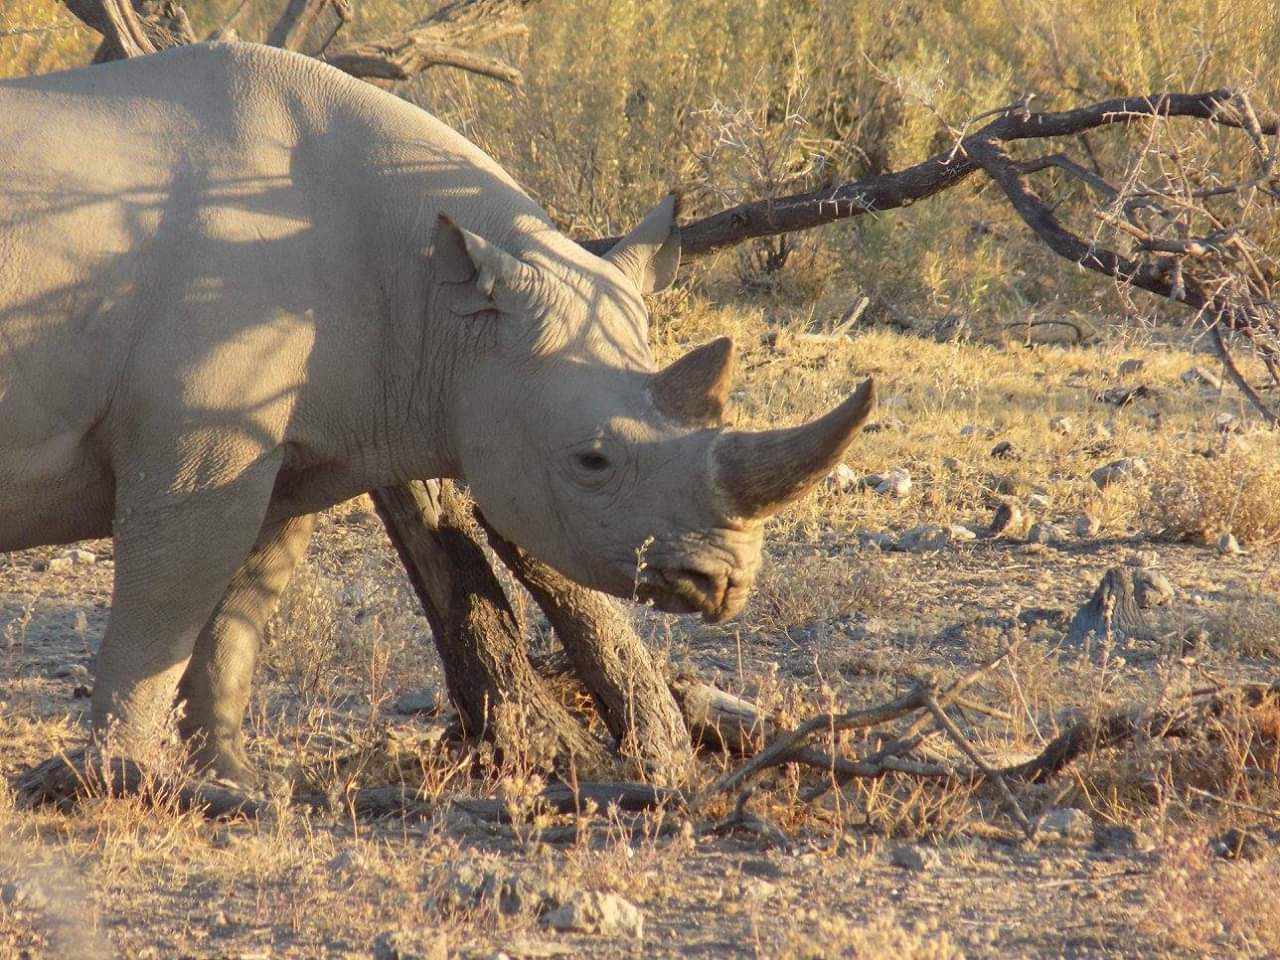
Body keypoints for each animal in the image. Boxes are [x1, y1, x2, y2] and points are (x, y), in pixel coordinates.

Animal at [0, 42, 874, 789]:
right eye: (591, 461)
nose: (722, 583)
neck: (443, 306)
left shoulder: (273, 447)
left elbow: (236, 611)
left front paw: (240, 782)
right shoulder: (196, 442)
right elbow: (164, 605)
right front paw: (113, 781)